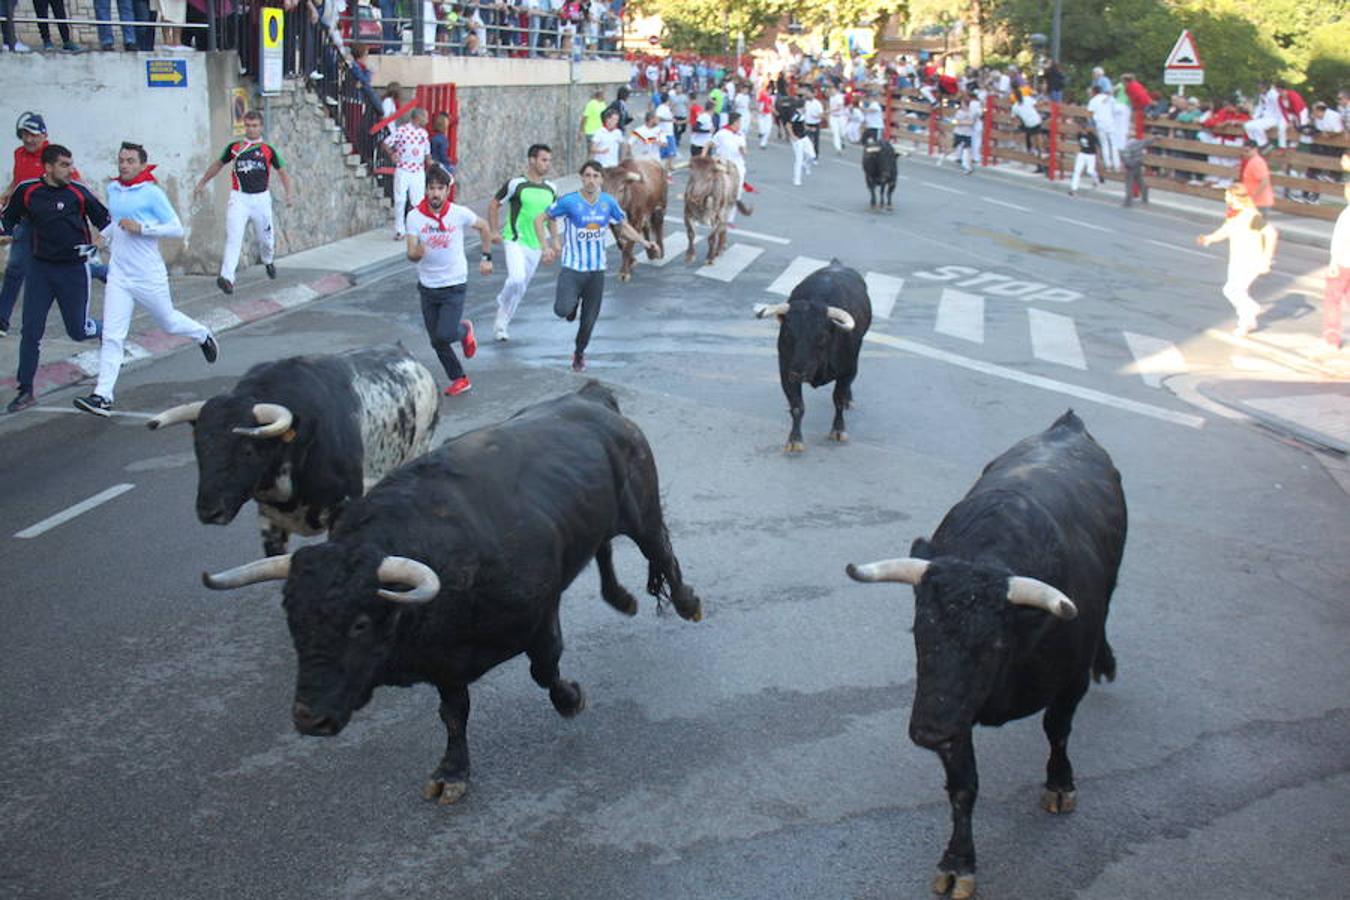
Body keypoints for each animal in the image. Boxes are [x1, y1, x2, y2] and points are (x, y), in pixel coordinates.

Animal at [202, 383, 707, 804]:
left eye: (360, 623)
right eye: (291, 617)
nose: (310, 719)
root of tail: (590, 397)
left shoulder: (539, 615)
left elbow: (544, 669)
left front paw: (570, 699)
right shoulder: (443, 660)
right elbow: (453, 713)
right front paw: (451, 773)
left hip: (642, 510)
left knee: (660, 551)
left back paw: (687, 603)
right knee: (603, 547)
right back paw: (620, 597)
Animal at [750, 259, 874, 453]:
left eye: (822, 336)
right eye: (788, 334)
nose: (799, 372)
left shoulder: (848, 370)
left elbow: (838, 399)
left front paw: (838, 430)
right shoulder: (786, 372)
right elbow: (797, 406)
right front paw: (794, 440)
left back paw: (849, 399)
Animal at [842, 410, 1128, 900]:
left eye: (992, 644)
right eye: (920, 632)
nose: (927, 731)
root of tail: (1068, 425)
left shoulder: (1068, 683)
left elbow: (1058, 730)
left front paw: (1060, 784)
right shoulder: (953, 713)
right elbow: (963, 786)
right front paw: (958, 863)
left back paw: (1105, 661)